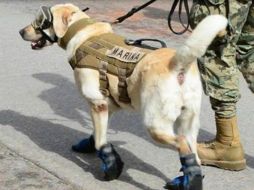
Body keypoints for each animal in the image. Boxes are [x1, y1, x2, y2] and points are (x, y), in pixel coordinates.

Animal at [18, 3, 227, 190]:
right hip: (188, 122)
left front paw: (110, 165)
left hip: (155, 125)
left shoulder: (97, 103)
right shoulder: (106, 106)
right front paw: (90, 144)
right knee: (194, 153)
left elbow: (102, 142)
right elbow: (97, 132)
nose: (20, 31)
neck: (84, 33)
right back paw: (185, 180)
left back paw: (191, 181)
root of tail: (177, 63)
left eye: (40, 20)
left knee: (182, 145)